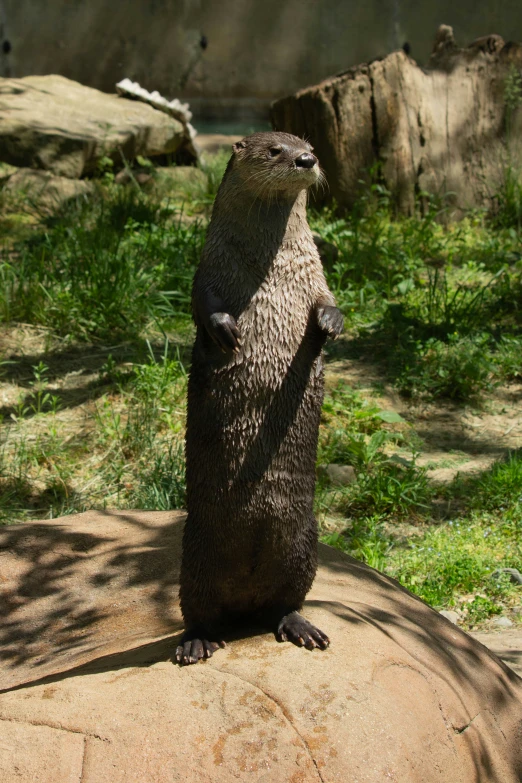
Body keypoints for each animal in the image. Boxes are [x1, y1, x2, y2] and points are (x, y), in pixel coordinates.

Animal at [177, 132, 344, 664]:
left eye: (309, 145)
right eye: (274, 150)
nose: (307, 160)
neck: (269, 269)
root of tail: (244, 606)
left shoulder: (316, 272)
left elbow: (329, 300)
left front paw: (330, 322)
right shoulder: (208, 267)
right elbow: (202, 303)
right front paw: (227, 330)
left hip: (305, 542)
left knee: (286, 600)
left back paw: (300, 626)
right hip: (196, 553)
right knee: (197, 608)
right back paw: (197, 641)